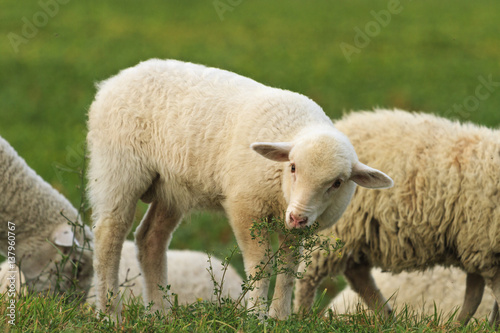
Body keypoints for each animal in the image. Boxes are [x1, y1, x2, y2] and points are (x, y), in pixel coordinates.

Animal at [87, 59, 394, 320]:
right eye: (293, 167)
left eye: (337, 183)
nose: (297, 217)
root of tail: (117, 78)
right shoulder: (246, 207)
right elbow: (261, 264)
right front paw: (256, 315)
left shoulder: (297, 229)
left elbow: (288, 268)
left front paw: (280, 317)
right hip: (119, 168)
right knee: (109, 235)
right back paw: (109, 313)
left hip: (171, 187)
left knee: (150, 239)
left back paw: (159, 313)